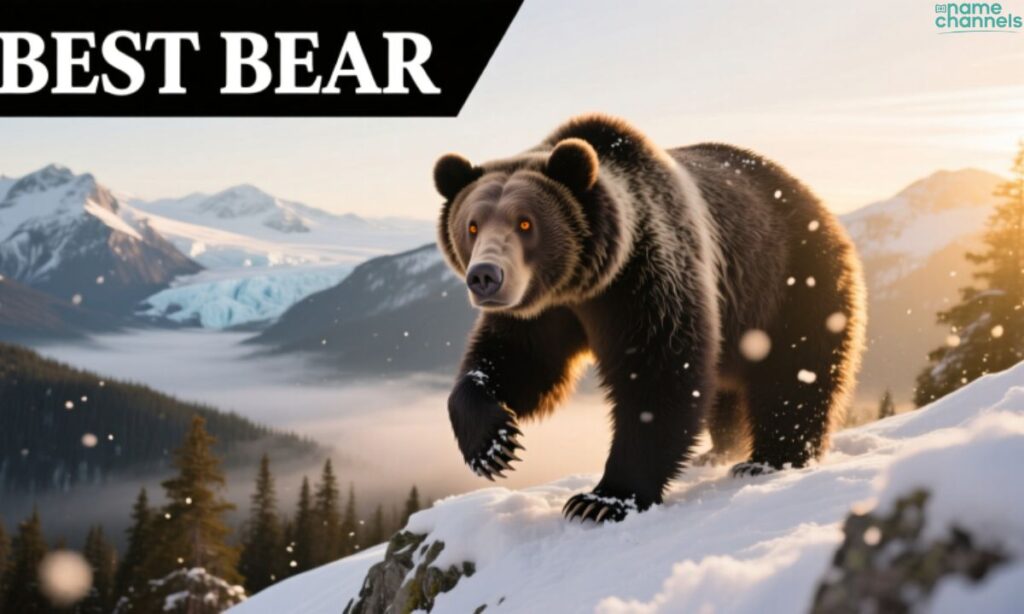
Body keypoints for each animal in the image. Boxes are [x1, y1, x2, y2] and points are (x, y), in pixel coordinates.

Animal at [433, 114, 866, 523]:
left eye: (525, 222)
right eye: (472, 226)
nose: (485, 276)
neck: (585, 282)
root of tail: (813, 199)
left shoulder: (645, 279)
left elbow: (659, 375)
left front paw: (602, 500)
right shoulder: (543, 310)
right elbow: (519, 363)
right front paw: (494, 444)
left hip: (790, 280)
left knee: (795, 373)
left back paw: (768, 459)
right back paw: (718, 451)